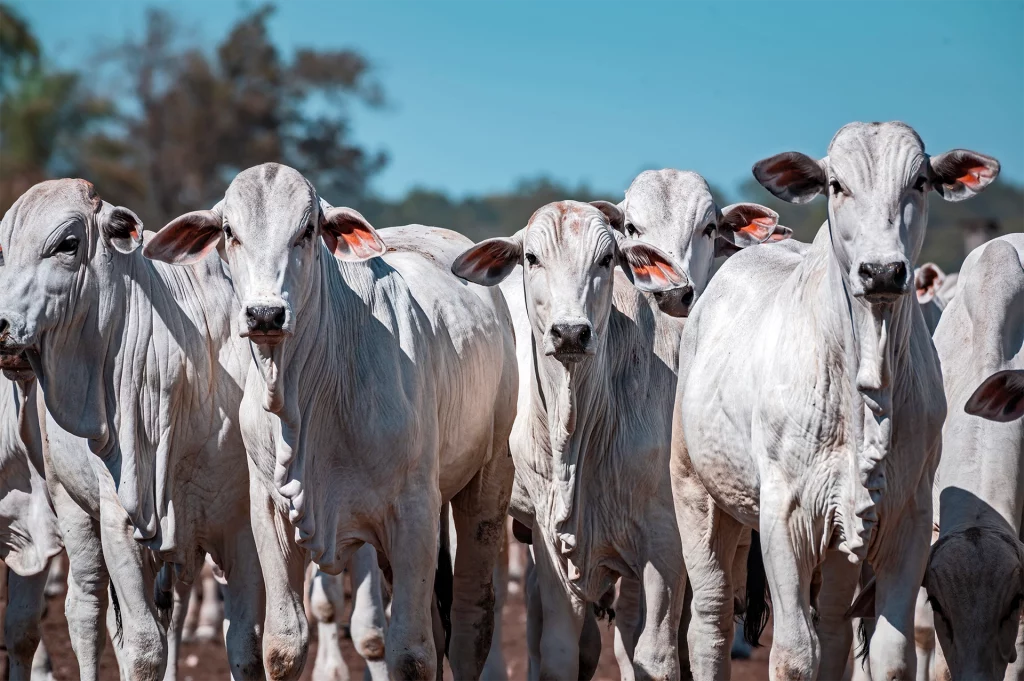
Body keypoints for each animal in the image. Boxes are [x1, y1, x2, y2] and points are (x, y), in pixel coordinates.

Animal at [0, 178, 268, 675]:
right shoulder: (119, 522)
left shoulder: (239, 527)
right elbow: (143, 648)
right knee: (86, 615)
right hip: (73, 510)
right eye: (3, 249)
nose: (3, 327)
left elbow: (247, 646)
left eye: (68, 244)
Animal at [147, 163, 516, 679]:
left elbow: (412, 655)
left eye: (307, 230)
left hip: (486, 483)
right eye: (229, 232)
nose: (265, 314)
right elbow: (283, 647)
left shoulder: (414, 512)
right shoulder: (269, 513)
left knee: (468, 629)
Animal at [675, 122, 995, 679]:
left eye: (920, 181)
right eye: (836, 184)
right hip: (695, 492)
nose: (883, 271)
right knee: (710, 622)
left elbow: (889, 655)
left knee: (833, 631)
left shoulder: (907, 521)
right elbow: (794, 655)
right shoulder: (784, 520)